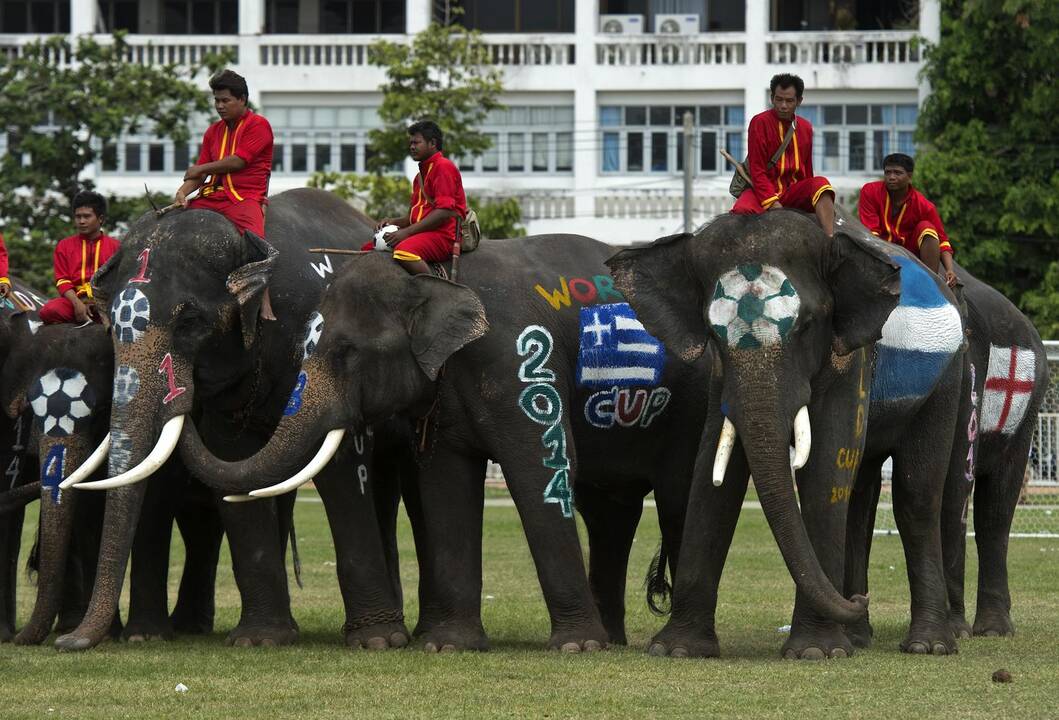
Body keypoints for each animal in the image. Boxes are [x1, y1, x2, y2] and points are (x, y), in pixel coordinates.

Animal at [0, 311, 223, 643]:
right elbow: (87, 513)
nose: (19, 640)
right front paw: (102, 635)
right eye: (31, 414)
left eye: (103, 410)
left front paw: (135, 637)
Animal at [52, 189, 398, 652]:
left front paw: (377, 642)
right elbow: (231, 458)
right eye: (110, 330)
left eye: (189, 321)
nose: (66, 643)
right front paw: (260, 641)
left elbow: (345, 465)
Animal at [173, 232, 707, 648]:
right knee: (611, 512)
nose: (190, 386)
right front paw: (449, 646)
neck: (433, 277)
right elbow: (446, 483)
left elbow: (541, 464)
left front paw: (575, 648)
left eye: (347, 351)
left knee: (677, 495)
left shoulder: (520, 358)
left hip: (690, 406)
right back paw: (614, 641)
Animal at [609, 208, 970, 656]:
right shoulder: (720, 378)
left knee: (917, 496)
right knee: (859, 497)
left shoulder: (852, 356)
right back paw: (858, 636)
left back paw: (927, 645)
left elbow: (826, 465)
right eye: (711, 335)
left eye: (808, 325)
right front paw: (677, 650)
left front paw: (816, 652)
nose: (859, 599)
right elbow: (713, 468)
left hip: (948, 375)